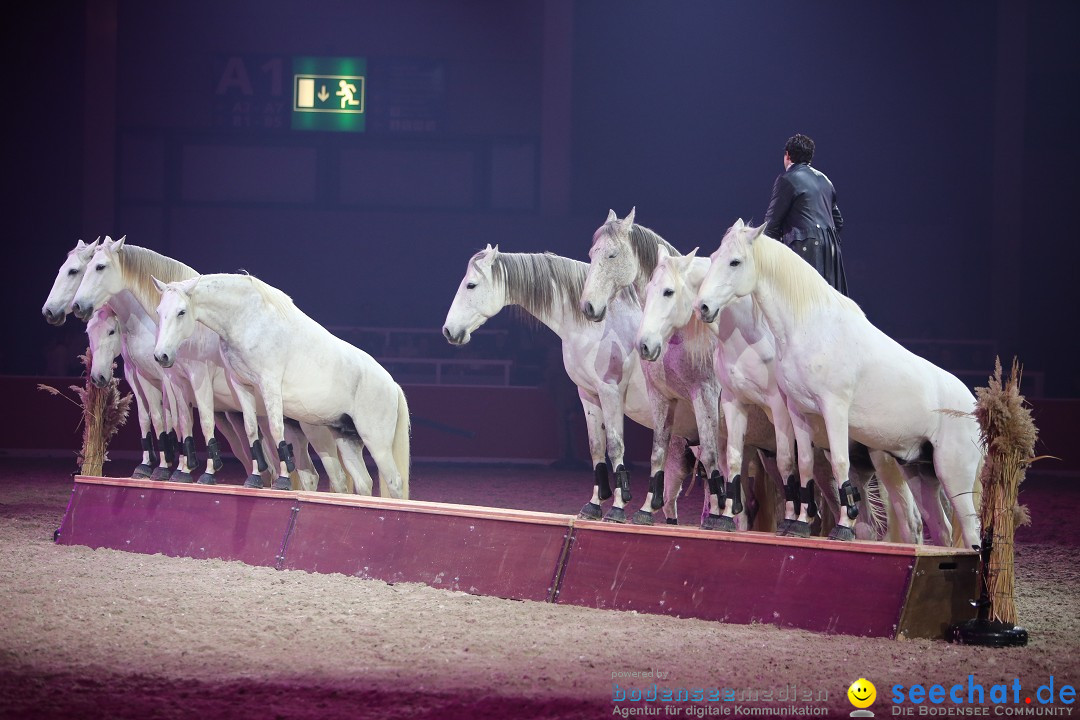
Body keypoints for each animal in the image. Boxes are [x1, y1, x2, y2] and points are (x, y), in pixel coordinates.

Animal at [150, 273, 406, 498]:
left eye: (181, 312)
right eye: (159, 312)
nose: (161, 356)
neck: (248, 319)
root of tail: (392, 384)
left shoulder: (269, 385)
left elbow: (275, 430)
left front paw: (283, 480)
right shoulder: (242, 387)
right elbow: (252, 431)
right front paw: (254, 479)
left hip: (377, 443)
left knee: (395, 483)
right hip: (347, 440)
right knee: (364, 483)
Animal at [442, 246, 695, 524]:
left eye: (471, 285)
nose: (448, 330)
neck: (598, 326)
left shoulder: (610, 393)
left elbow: (615, 447)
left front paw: (617, 508)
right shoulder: (588, 395)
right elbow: (596, 448)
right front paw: (594, 505)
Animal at [695, 222, 984, 548]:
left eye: (735, 262)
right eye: (714, 257)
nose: (702, 307)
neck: (813, 327)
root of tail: (973, 405)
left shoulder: (834, 409)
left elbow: (839, 465)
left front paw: (843, 528)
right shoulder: (798, 412)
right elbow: (803, 464)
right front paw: (798, 525)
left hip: (952, 476)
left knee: (969, 531)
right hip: (919, 473)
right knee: (943, 529)